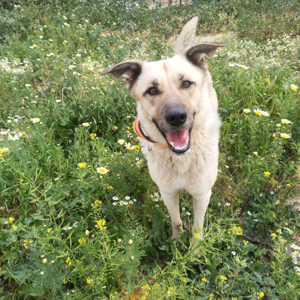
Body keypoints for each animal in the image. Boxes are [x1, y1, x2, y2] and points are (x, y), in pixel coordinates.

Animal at [101, 17, 225, 246]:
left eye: (186, 83)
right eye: (151, 90)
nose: (176, 117)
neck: (181, 159)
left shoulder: (202, 194)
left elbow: (197, 229)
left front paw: (194, 252)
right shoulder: (167, 193)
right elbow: (176, 221)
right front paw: (175, 244)